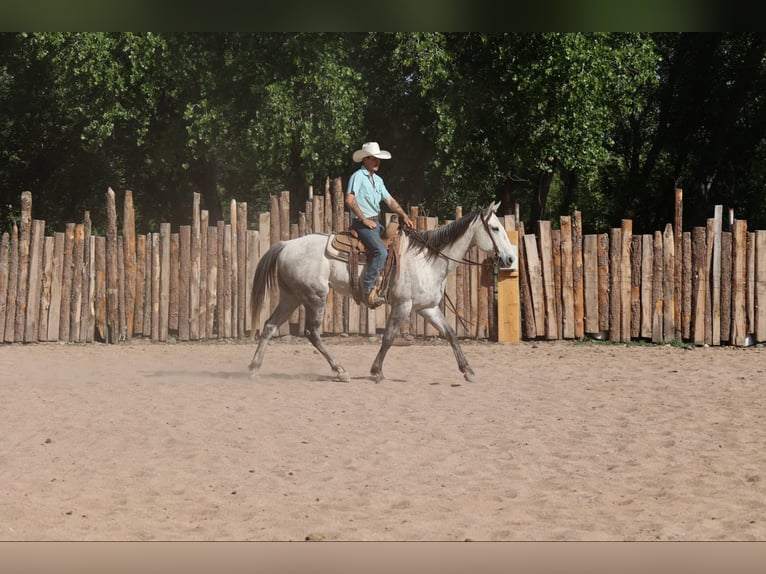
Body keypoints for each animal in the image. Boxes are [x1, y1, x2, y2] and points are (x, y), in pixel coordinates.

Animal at [248, 201, 516, 384]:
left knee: (270, 326)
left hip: (291, 297)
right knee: (312, 333)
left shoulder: (427, 308)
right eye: (494, 228)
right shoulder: (403, 305)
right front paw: (376, 371)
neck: (427, 260)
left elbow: (450, 334)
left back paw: (254, 368)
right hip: (315, 297)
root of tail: (285, 245)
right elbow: (388, 337)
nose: (510, 258)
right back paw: (340, 371)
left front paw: (468, 371)